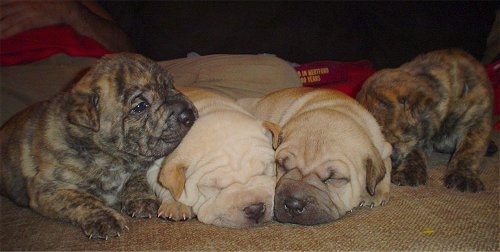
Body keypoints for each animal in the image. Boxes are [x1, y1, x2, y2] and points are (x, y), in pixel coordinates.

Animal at [0, 52, 199, 238]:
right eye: (140, 106)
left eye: (171, 85)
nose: (188, 114)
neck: (109, 155)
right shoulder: (47, 187)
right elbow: (80, 199)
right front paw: (105, 219)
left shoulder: (136, 167)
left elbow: (137, 179)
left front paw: (142, 199)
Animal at [148, 88, 282, 228]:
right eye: (214, 187)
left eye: (265, 172)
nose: (255, 209)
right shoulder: (155, 166)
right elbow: (166, 187)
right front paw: (176, 204)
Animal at [236, 87, 392, 225]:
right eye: (282, 165)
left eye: (333, 178)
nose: (293, 204)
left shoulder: (385, 147)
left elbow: (385, 166)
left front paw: (374, 192)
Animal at [358, 48, 494, 192]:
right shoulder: (419, 136)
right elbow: (414, 152)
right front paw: (410, 172)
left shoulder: (478, 121)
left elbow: (469, 150)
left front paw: (463, 176)